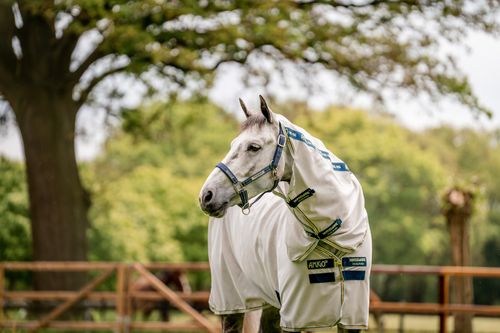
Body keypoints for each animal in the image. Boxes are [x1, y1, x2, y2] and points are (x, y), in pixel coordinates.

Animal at [199, 96, 372, 332]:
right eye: (233, 144)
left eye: (254, 147)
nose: (206, 195)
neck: (332, 235)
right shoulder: (296, 318)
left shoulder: (352, 319)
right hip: (231, 301)